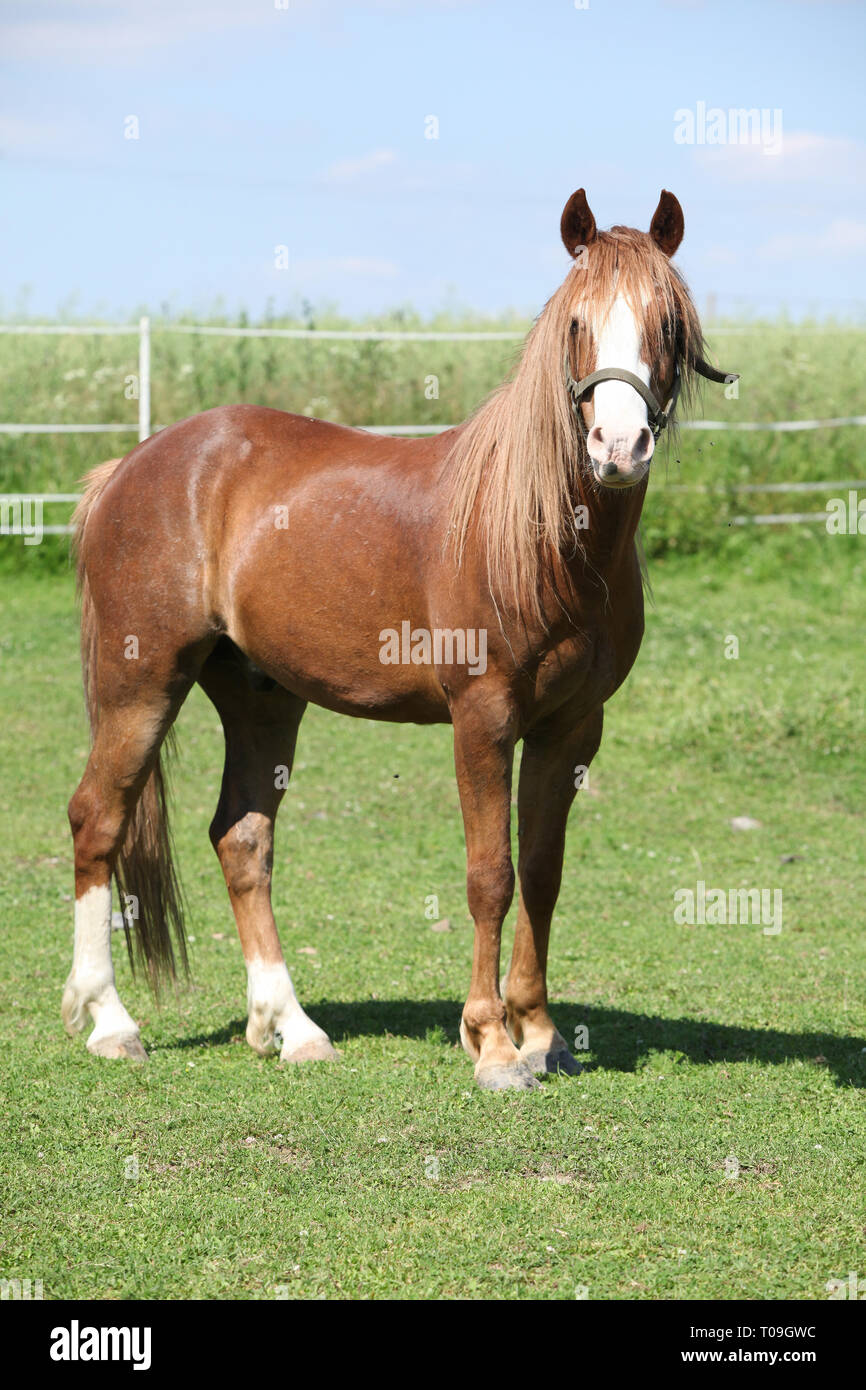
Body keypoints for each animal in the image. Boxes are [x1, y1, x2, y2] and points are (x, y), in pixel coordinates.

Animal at [64, 190, 733, 1089]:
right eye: (577, 323)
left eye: (667, 322)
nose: (618, 448)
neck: (540, 539)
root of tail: (130, 469)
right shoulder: (482, 719)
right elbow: (491, 876)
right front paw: (492, 1047)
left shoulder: (571, 728)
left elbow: (543, 872)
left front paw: (540, 1034)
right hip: (139, 685)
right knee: (97, 821)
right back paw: (109, 1021)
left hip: (259, 698)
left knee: (242, 840)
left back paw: (292, 1028)